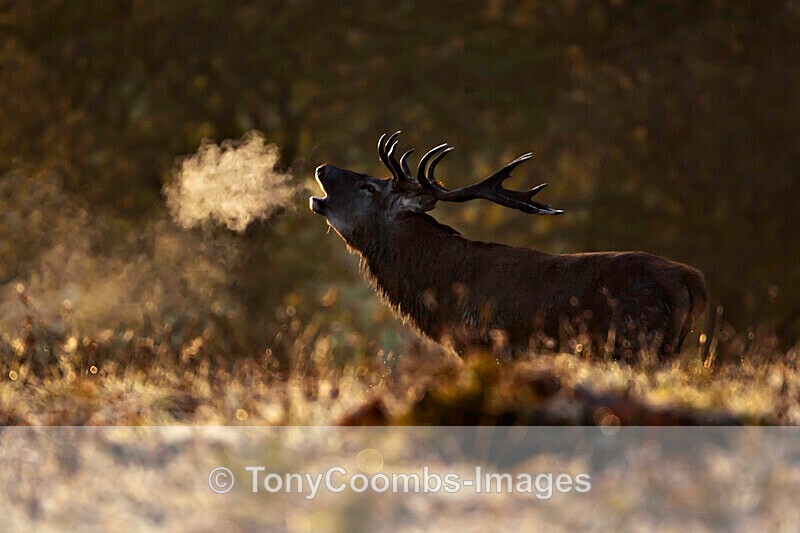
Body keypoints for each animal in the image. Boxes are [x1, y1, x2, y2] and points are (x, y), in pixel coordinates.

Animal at [310, 132, 707, 360]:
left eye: (369, 187)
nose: (323, 167)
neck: (442, 294)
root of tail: (692, 282)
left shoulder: (489, 346)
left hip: (637, 342)